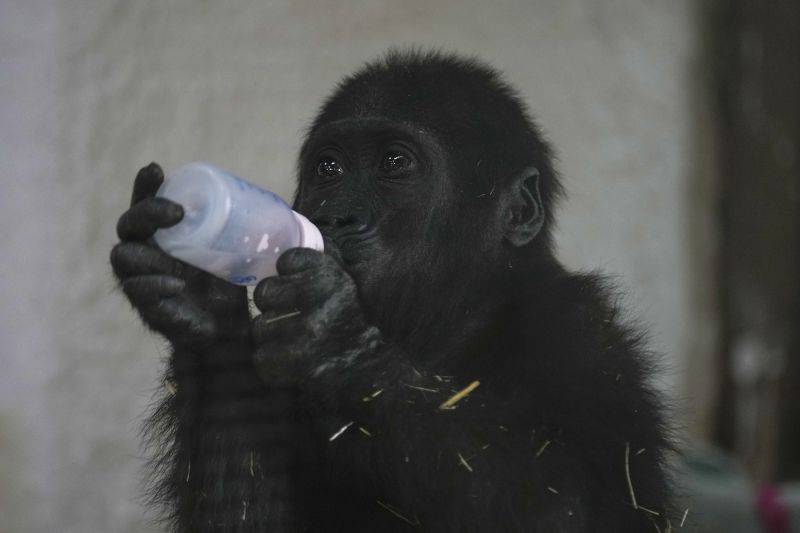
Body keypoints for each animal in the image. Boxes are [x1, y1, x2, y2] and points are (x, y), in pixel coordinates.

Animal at [111, 48, 676, 528]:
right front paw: (202, 299)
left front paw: (336, 344)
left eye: (395, 163)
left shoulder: (582, 336)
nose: (336, 217)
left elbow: (573, 506)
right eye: (330, 168)